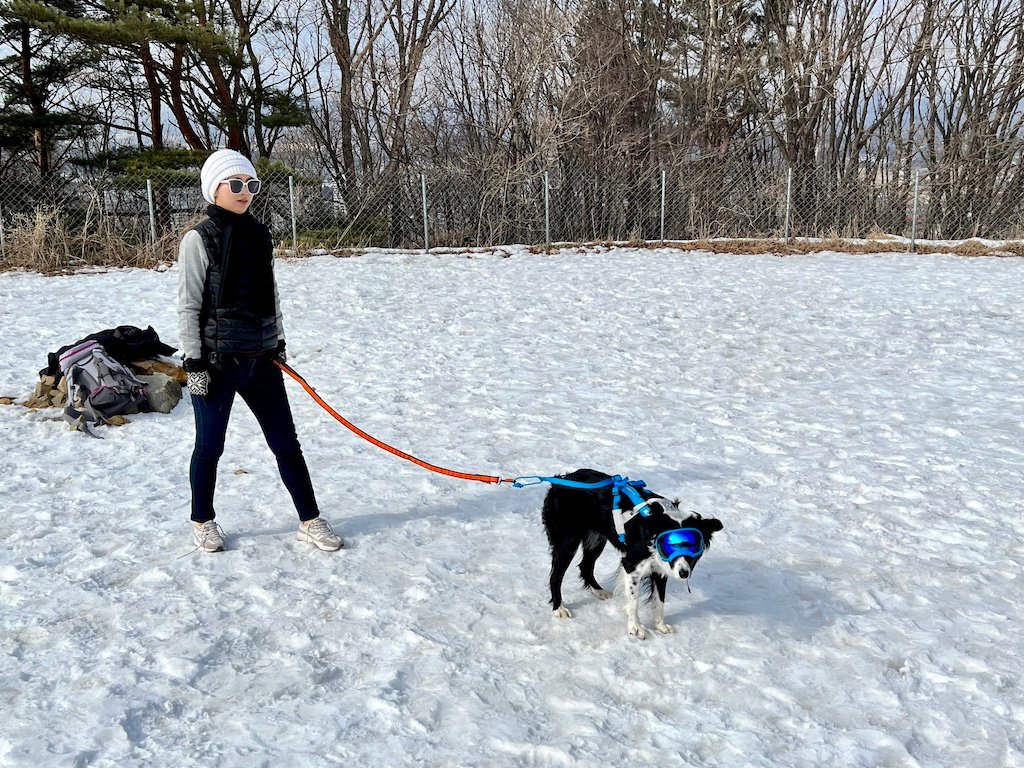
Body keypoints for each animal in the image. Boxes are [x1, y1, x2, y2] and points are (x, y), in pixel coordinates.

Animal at [540, 473, 724, 638]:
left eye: (694, 546)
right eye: (670, 544)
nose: (684, 573)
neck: (655, 530)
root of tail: (559, 480)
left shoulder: (660, 567)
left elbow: (659, 600)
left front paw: (660, 626)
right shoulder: (631, 564)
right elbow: (634, 601)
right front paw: (635, 628)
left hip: (597, 539)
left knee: (586, 565)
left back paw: (599, 591)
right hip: (568, 541)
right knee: (556, 576)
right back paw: (559, 608)